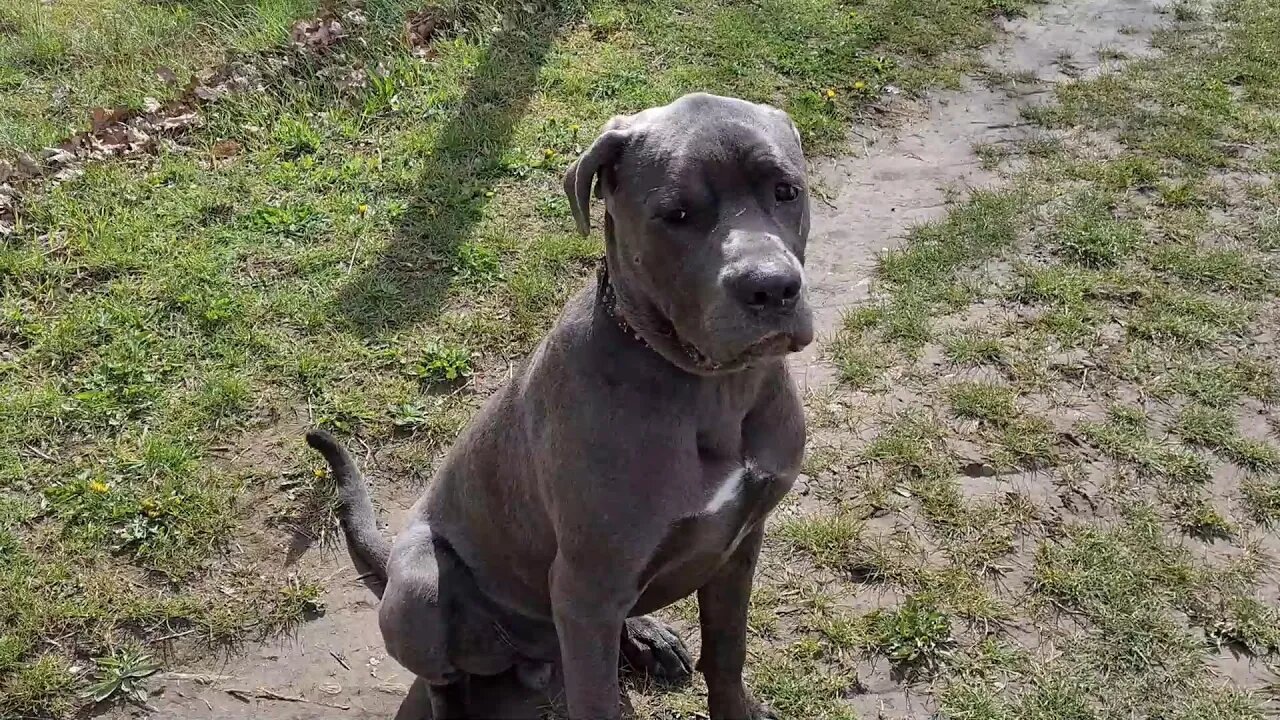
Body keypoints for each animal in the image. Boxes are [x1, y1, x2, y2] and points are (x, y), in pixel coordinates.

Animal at [308, 92, 808, 712]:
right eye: (676, 214)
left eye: (786, 190)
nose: (771, 287)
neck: (712, 389)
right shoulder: (587, 591)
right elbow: (598, 702)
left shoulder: (739, 544)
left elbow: (727, 653)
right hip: (422, 587)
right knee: (441, 680)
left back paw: (649, 638)